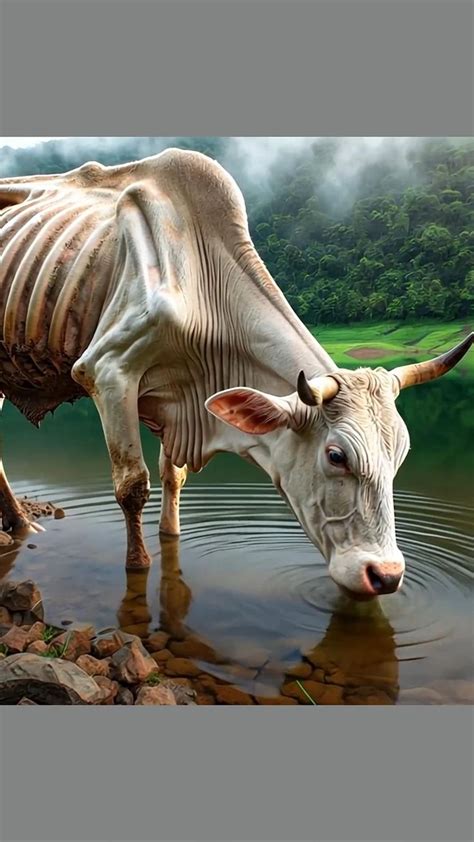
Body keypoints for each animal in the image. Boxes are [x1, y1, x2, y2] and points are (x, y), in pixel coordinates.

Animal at [0, 148, 472, 599]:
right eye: (336, 456)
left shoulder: (175, 406)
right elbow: (132, 486)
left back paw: (21, 525)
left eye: (401, 454)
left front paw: (170, 536)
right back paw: (23, 526)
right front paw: (138, 566)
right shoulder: (108, 371)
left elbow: (174, 477)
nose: (386, 575)